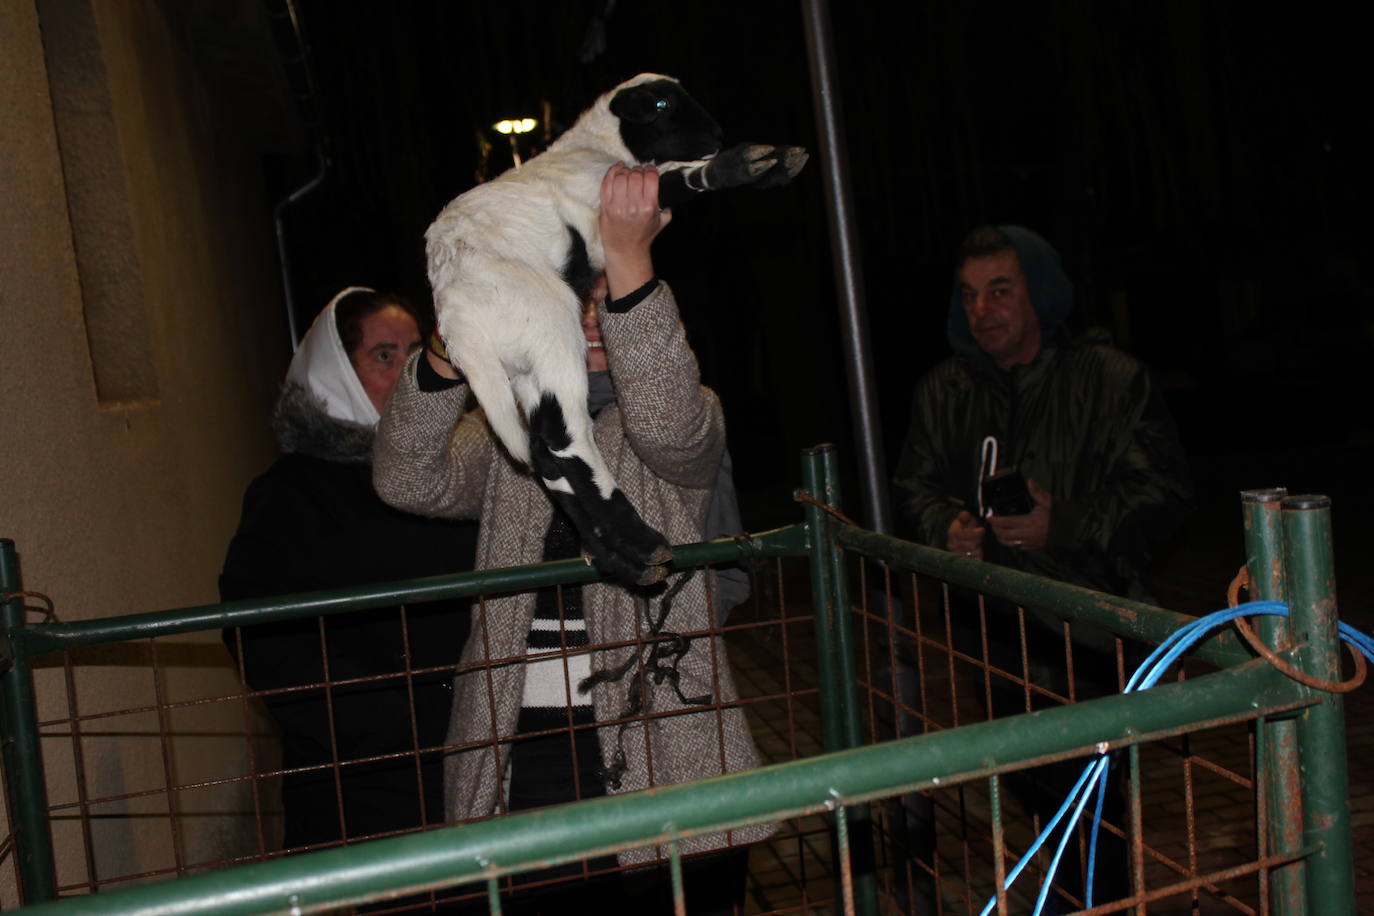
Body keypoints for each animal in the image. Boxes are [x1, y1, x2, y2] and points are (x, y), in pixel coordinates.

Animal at [423, 73, 802, 587]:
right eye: (662, 105)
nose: (717, 134)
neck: (595, 147)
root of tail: (456, 315)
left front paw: (776, 161)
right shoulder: (602, 210)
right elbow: (673, 178)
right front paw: (743, 163)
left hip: (523, 364)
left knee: (545, 452)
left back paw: (620, 555)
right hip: (550, 326)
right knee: (564, 440)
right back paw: (640, 541)